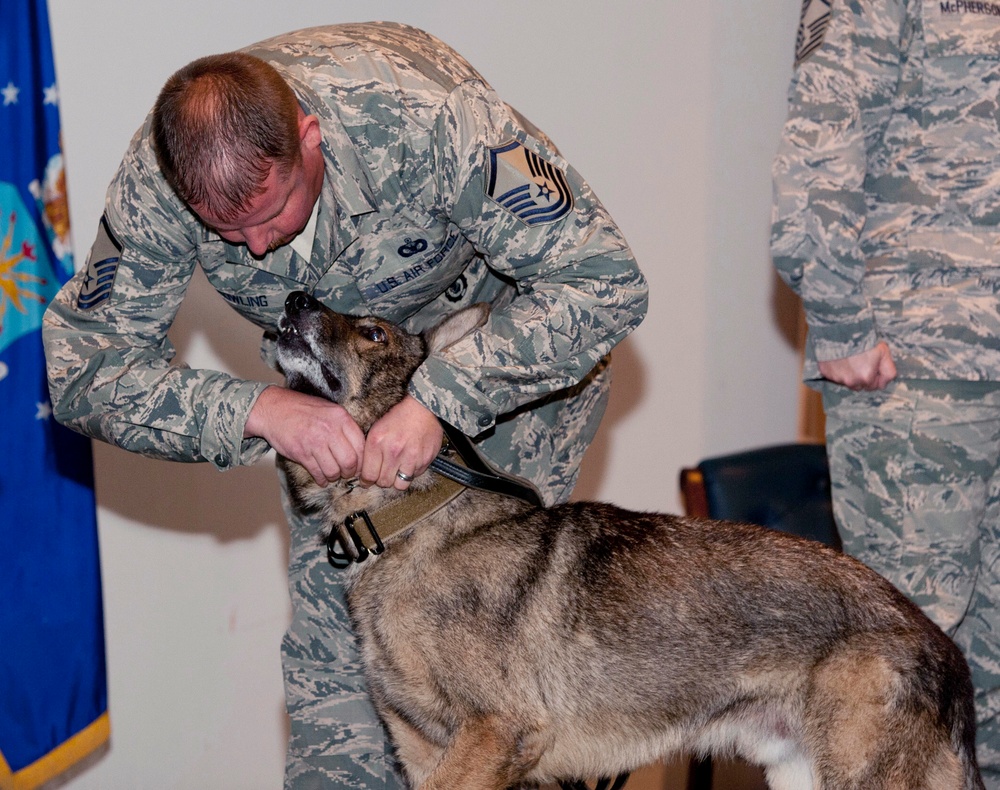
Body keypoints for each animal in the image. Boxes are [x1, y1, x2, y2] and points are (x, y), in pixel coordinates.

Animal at [274, 292, 984, 790]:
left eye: (371, 333)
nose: (294, 298)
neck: (408, 520)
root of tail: (943, 646)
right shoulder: (424, 755)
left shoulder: (497, 734)